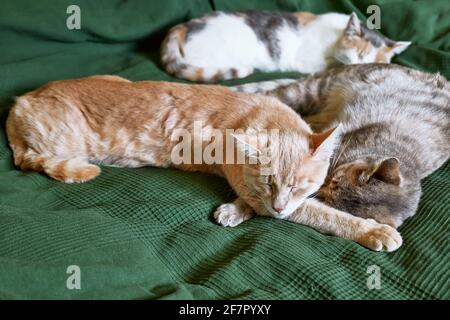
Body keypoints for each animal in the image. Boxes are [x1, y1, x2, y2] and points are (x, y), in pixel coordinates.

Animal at [6, 75, 400, 252]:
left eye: (298, 185)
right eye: (269, 182)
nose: (279, 206)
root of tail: (19, 101)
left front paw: (234, 211)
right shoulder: (265, 197)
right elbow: (326, 216)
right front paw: (373, 230)